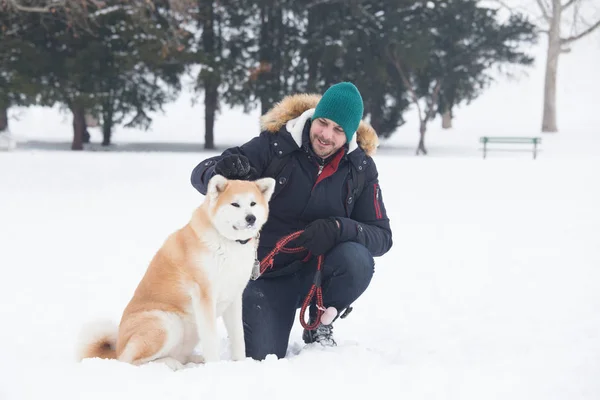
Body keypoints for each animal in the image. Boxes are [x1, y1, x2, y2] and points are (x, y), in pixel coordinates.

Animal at [77, 177, 276, 370]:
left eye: (253, 203)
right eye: (235, 204)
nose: (251, 218)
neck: (228, 243)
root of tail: (117, 349)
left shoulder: (234, 298)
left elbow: (238, 338)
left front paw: (241, 364)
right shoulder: (204, 297)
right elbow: (211, 339)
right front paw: (215, 367)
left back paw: (194, 359)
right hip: (167, 323)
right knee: (130, 361)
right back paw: (170, 363)